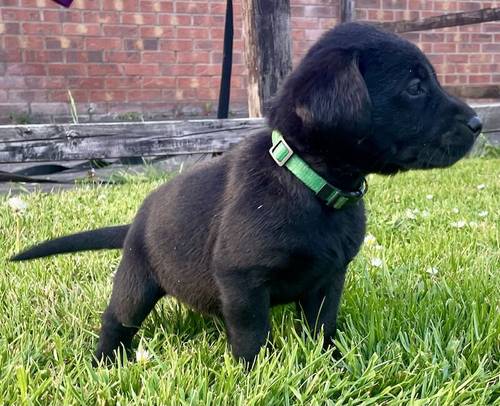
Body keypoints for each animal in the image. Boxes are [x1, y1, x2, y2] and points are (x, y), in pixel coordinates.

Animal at [12, 22, 480, 364]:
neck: (311, 183)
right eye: (415, 87)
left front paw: (332, 364)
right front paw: (255, 374)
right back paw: (105, 360)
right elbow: (253, 334)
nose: (478, 124)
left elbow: (323, 328)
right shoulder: (243, 280)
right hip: (135, 281)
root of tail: (136, 220)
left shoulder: (329, 279)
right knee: (116, 321)